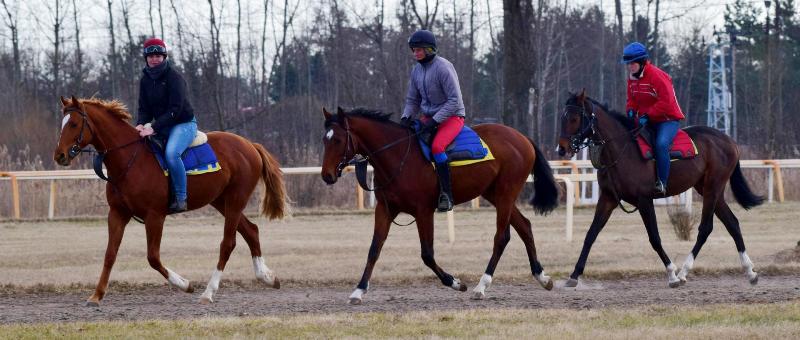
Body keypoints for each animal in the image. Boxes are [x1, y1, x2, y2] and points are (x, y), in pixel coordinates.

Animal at [53, 95, 286, 306]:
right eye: (62, 124)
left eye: (74, 124)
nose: (60, 155)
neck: (131, 159)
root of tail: (250, 145)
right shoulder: (117, 213)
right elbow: (110, 254)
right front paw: (96, 295)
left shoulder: (155, 216)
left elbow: (153, 257)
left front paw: (184, 284)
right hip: (222, 201)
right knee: (251, 230)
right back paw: (267, 277)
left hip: (236, 200)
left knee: (228, 243)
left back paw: (209, 292)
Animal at [318, 107, 556, 304]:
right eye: (324, 140)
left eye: (337, 139)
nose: (326, 175)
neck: (398, 156)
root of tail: (522, 137)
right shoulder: (385, 209)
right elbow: (374, 249)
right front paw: (358, 290)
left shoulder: (423, 212)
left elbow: (427, 254)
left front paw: (455, 282)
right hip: (495, 194)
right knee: (524, 226)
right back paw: (542, 277)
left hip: (506, 193)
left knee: (501, 237)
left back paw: (482, 285)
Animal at [556, 91, 764, 288]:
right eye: (562, 117)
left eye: (574, 119)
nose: (561, 149)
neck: (620, 151)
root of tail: (729, 140)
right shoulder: (608, 198)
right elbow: (590, 235)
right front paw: (574, 275)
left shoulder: (644, 200)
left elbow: (654, 238)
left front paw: (672, 274)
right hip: (708, 189)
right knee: (732, 223)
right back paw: (750, 271)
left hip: (713, 187)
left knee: (705, 228)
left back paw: (683, 272)